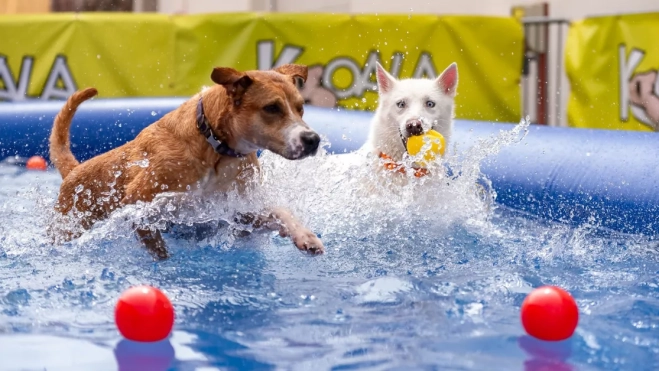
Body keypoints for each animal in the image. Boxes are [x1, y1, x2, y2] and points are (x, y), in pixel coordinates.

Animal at [47, 64, 324, 260]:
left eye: (300, 107)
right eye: (272, 108)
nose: (312, 139)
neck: (215, 146)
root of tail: (74, 170)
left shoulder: (237, 208)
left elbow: (280, 212)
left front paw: (304, 235)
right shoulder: (139, 198)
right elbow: (151, 233)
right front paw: (161, 255)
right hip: (69, 225)